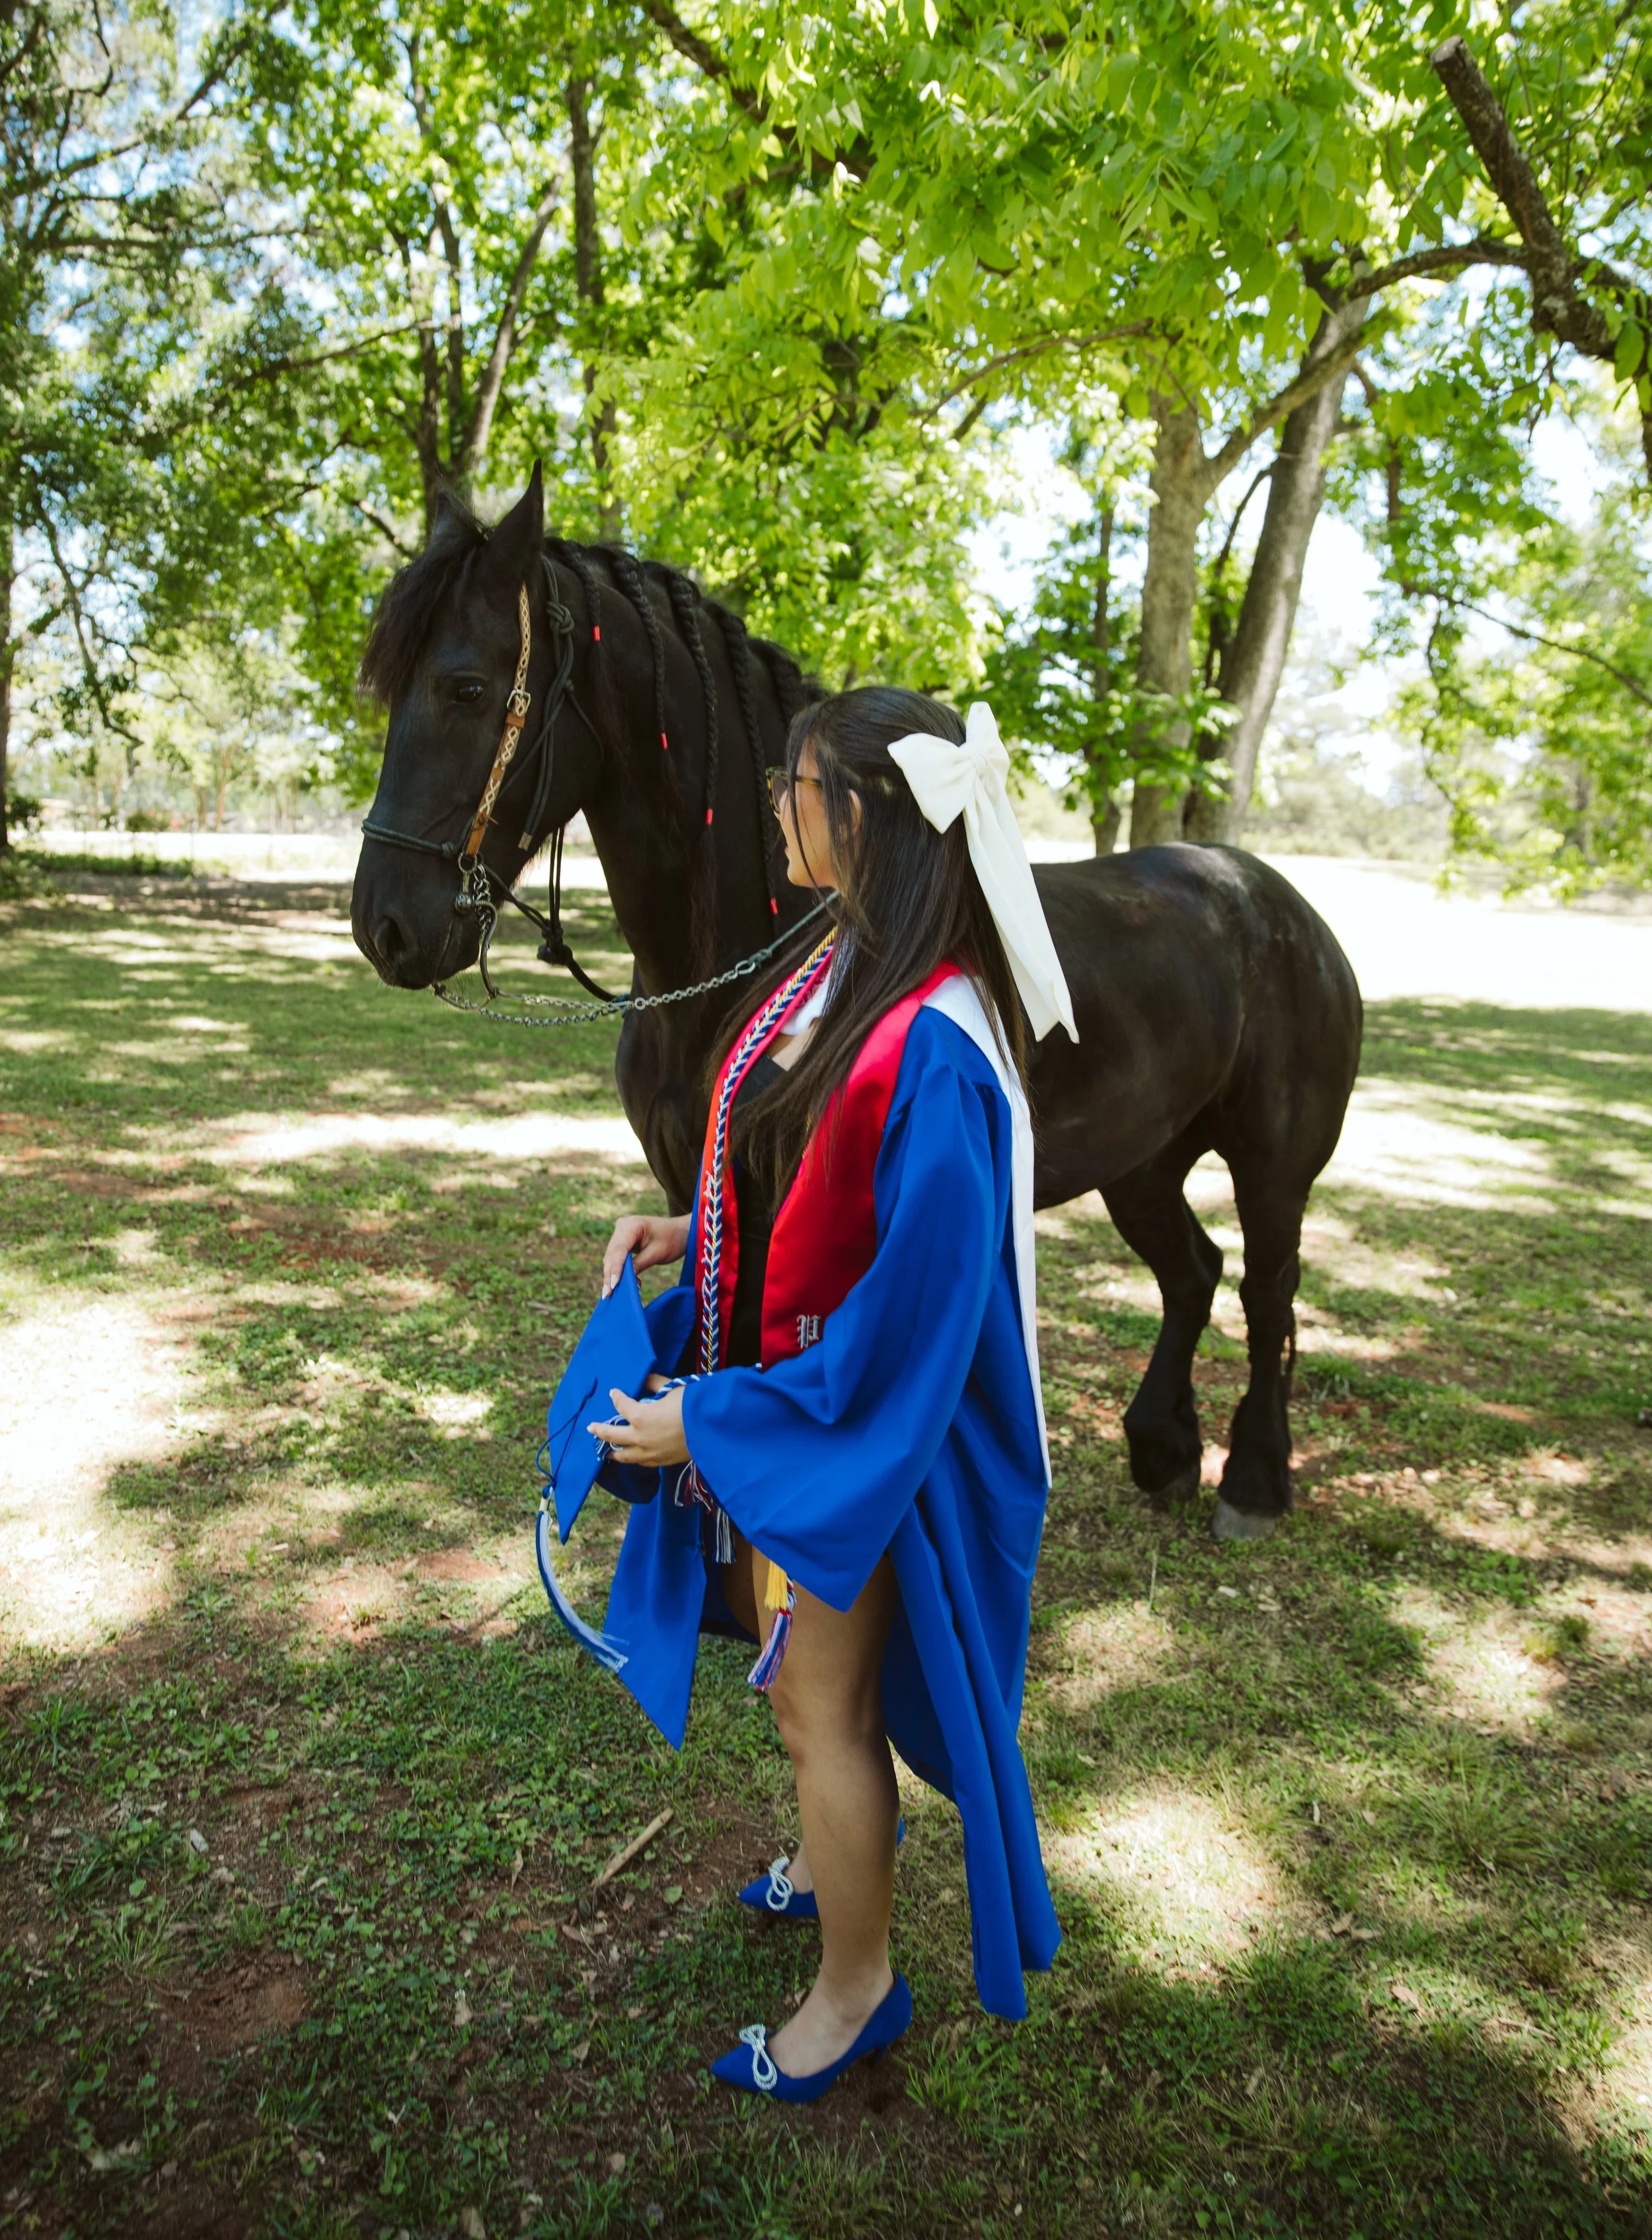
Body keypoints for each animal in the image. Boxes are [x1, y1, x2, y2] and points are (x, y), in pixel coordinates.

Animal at [350, 468, 1362, 1540]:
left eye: (465, 686)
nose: (384, 926)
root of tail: (1273, 900)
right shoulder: (695, 1184)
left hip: (1272, 1168)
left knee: (1267, 1294)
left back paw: (1254, 1478)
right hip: (1144, 1162)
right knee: (1193, 1273)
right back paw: (1163, 1447)